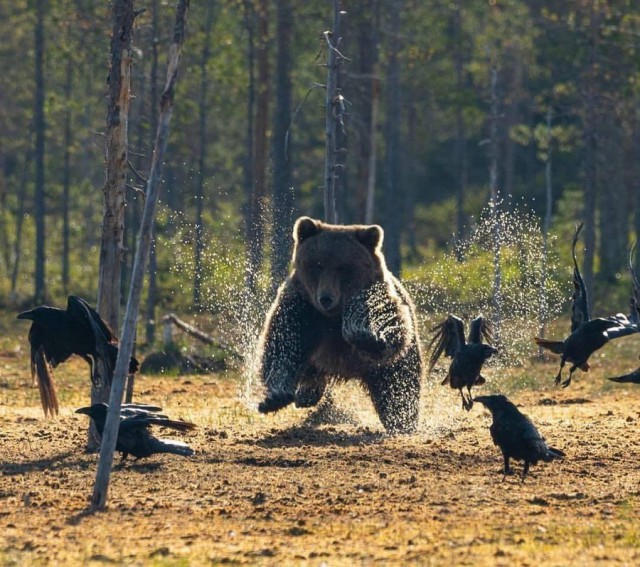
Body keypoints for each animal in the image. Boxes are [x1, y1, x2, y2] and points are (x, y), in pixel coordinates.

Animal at [258, 217, 422, 434]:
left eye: (344, 267)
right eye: (318, 265)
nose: (326, 298)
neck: (332, 317)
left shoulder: (375, 296)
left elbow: (387, 322)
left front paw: (366, 337)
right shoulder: (303, 309)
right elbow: (283, 345)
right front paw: (274, 398)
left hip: (388, 367)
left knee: (398, 387)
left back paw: (403, 421)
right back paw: (305, 396)